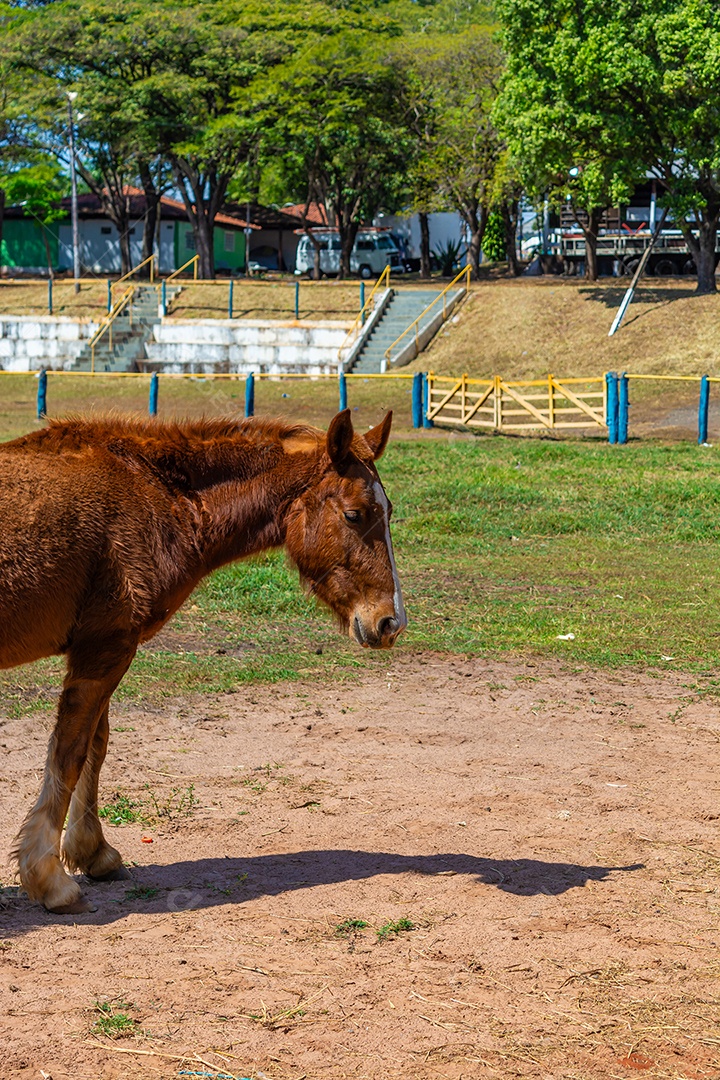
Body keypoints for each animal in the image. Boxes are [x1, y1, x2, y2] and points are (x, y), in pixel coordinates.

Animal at [0, 408, 406, 914]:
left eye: (389, 513)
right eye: (355, 515)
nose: (391, 622)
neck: (151, 493)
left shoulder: (106, 646)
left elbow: (97, 744)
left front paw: (94, 853)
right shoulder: (106, 647)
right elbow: (70, 753)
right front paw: (49, 877)